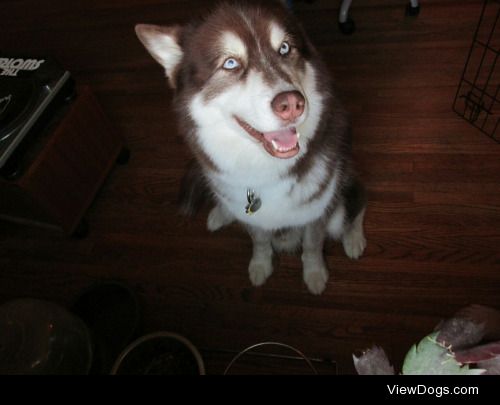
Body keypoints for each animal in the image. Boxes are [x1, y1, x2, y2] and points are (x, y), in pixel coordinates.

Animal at [137, 0, 368, 290]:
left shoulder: (317, 212)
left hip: (343, 194)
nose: (292, 104)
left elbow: (313, 245)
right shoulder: (252, 216)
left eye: (284, 48)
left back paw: (354, 239)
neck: (264, 170)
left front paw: (314, 274)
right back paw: (220, 213)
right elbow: (259, 240)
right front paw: (260, 265)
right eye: (231, 63)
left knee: (355, 208)